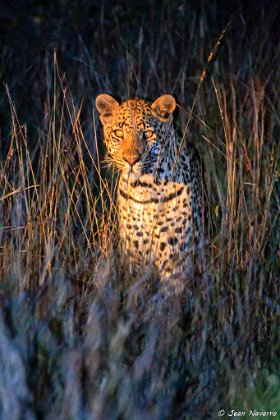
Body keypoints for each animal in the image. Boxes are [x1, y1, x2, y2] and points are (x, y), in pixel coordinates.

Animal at [95, 93, 203, 294]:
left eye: (147, 134)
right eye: (119, 133)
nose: (131, 160)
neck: (144, 186)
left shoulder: (174, 247)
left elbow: (171, 288)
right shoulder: (134, 247)